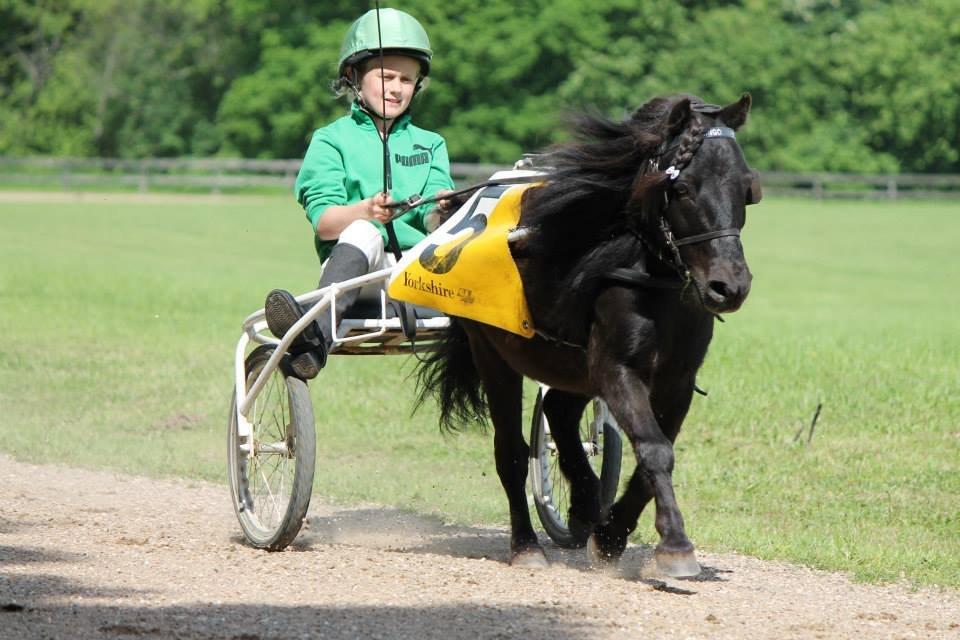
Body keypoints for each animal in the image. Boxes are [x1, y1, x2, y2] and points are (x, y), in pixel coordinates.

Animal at [416, 91, 760, 576]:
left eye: (746, 188)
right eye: (683, 188)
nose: (729, 286)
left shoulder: (676, 380)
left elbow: (655, 453)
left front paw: (610, 532)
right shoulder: (616, 367)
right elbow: (654, 449)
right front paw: (674, 544)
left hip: (568, 364)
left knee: (558, 411)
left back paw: (583, 502)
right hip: (492, 350)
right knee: (511, 452)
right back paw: (526, 544)